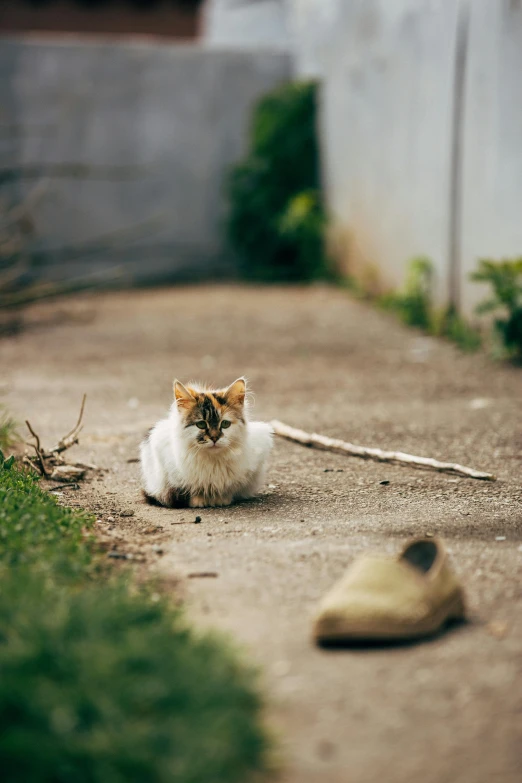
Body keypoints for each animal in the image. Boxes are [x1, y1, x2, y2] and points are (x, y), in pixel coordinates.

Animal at [140, 378, 274, 508]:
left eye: (225, 424)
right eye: (201, 424)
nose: (214, 438)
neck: (213, 460)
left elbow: (228, 490)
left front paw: (220, 499)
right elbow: (193, 490)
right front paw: (200, 501)